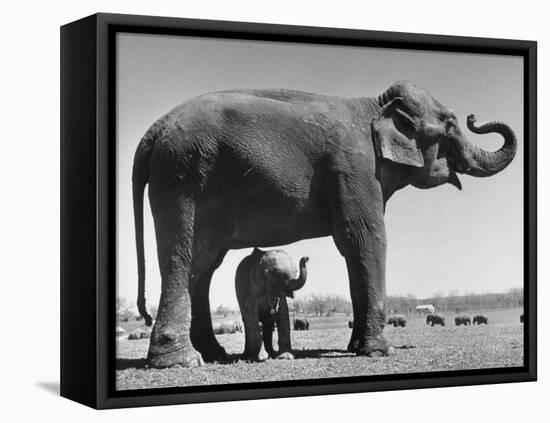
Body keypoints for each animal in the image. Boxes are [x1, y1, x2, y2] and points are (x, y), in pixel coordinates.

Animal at [134, 81, 516, 370]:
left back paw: (214, 354)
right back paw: (182, 362)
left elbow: (352, 246)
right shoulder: (355, 168)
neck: (376, 105)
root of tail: (153, 131)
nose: (473, 116)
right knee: (183, 259)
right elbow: (366, 238)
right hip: (182, 178)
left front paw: (357, 347)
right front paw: (381, 351)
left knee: (204, 265)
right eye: (450, 123)